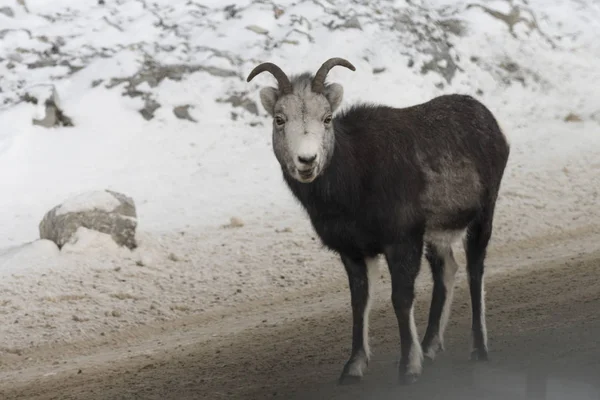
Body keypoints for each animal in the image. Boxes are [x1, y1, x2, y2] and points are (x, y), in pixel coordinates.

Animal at [246, 58, 508, 384]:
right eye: (280, 119)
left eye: (327, 118)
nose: (307, 161)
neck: (352, 185)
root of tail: (491, 123)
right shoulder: (354, 252)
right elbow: (359, 303)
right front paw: (353, 368)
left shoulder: (402, 242)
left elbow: (401, 299)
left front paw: (408, 368)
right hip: (437, 236)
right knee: (447, 269)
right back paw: (430, 347)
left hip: (483, 216)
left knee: (475, 270)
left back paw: (478, 349)